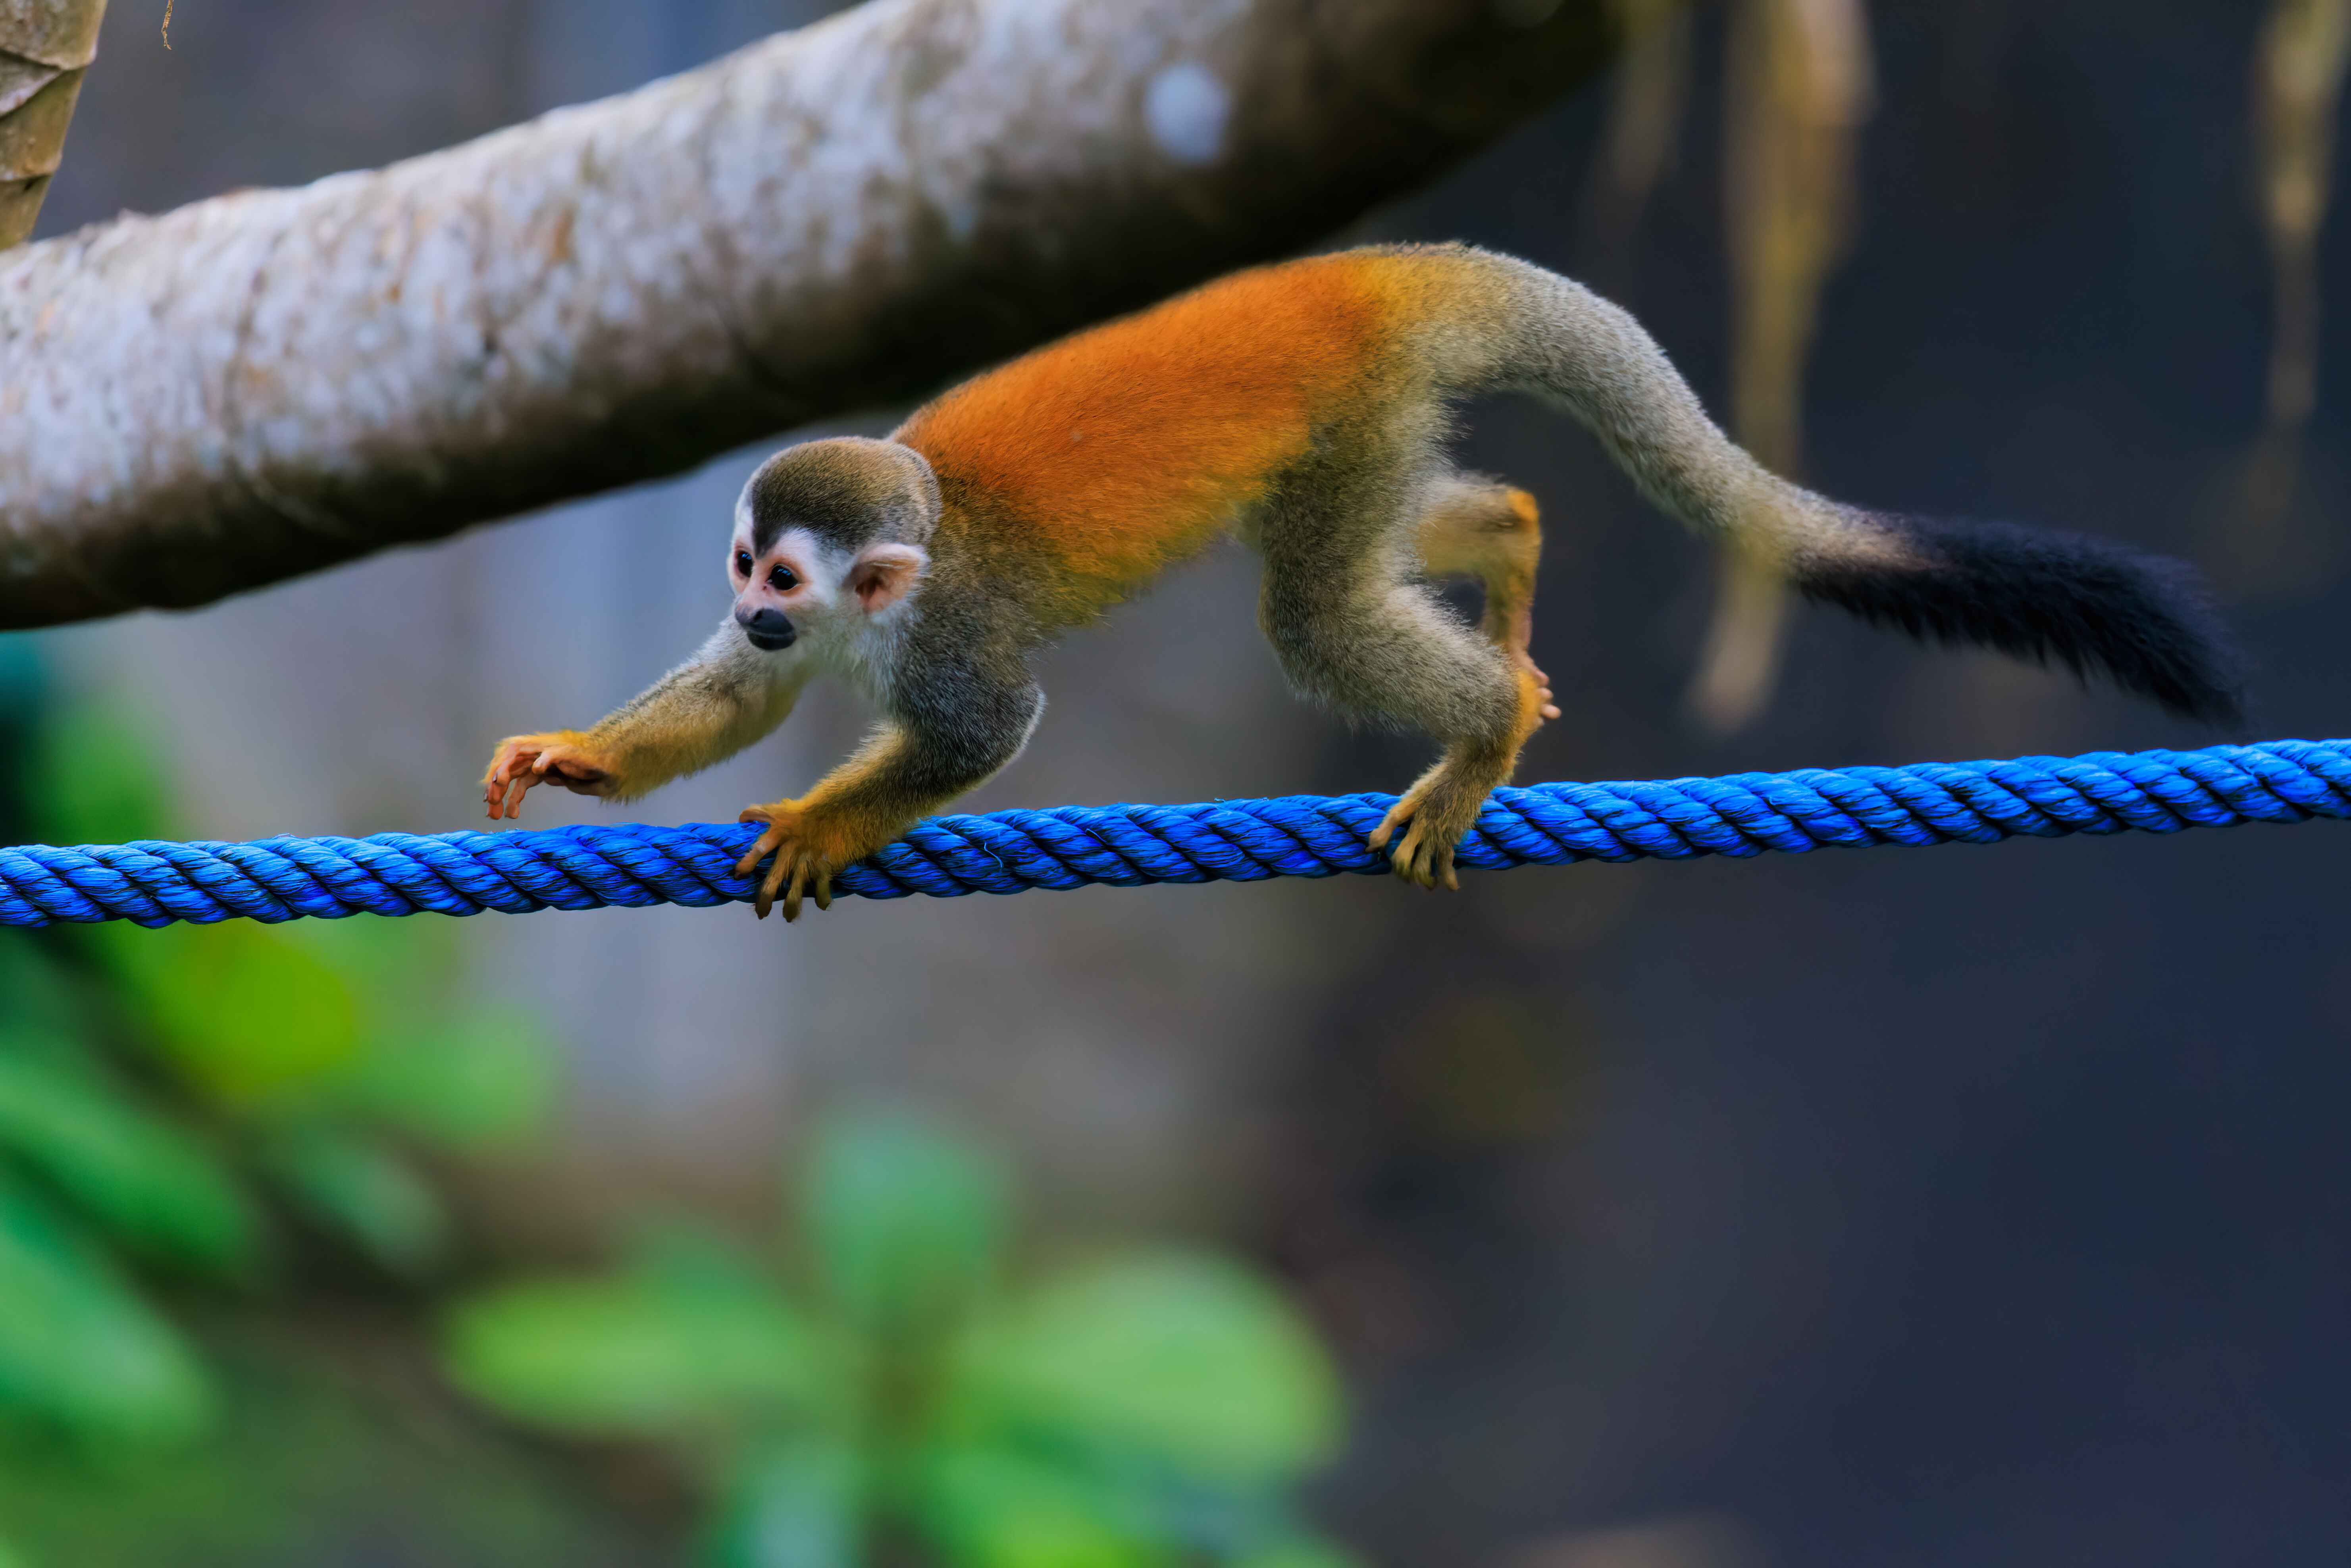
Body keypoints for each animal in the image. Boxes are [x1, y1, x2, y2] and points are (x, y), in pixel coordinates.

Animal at [481, 242, 2243, 920]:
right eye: (743, 567)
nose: (753, 600)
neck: (885, 602)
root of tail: (1363, 275)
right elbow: (732, 698)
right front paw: (580, 758)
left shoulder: (952, 637)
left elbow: (980, 735)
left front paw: (825, 823)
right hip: (1371, 427)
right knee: (1367, 557)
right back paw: (1510, 552)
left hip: (1354, 412)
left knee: (1314, 616)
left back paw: (1480, 735)